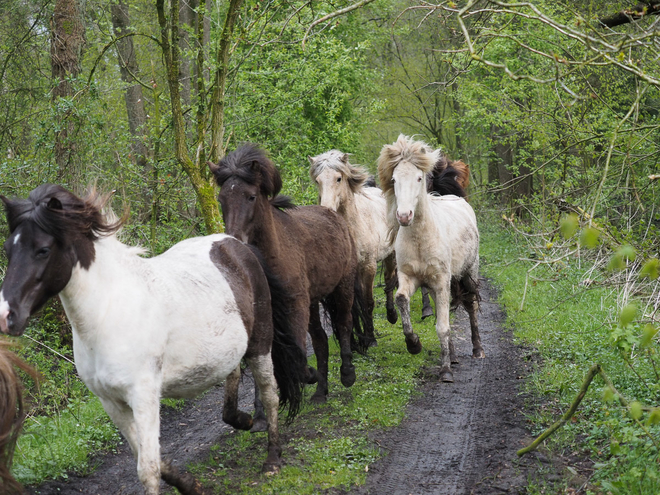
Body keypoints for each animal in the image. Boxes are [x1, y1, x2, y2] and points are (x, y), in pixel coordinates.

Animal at [0, 185, 304, 495]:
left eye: (43, 250)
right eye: (8, 249)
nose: (6, 315)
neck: (108, 313)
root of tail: (235, 245)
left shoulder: (143, 395)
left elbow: (148, 469)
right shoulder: (111, 402)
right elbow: (151, 458)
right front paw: (191, 485)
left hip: (260, 345)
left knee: (269, 393)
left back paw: (272, 459)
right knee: (233, 375)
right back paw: (242, 420)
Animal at [210, 143, 366, 404]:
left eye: (251, 196)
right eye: (222, 199)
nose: (234, 242)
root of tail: (333, 213)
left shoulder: (296, 304)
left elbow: (299, 356)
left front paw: (308, 375)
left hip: (342, 287)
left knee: (344, 323)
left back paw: (347, 374)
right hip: (313, 301)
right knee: (321, 340)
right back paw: (321, 392)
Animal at [376, 136, 484, 384]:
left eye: (418, 178)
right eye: (394, 179)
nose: (404, 216)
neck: (421, 239)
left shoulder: (442, 282)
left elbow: (442, 326)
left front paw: (445, 372)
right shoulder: (410, 278)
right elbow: (402, 300)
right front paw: (413, 344)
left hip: (468, 273)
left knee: (471, 306)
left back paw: (477, 349)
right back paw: (452, 355)